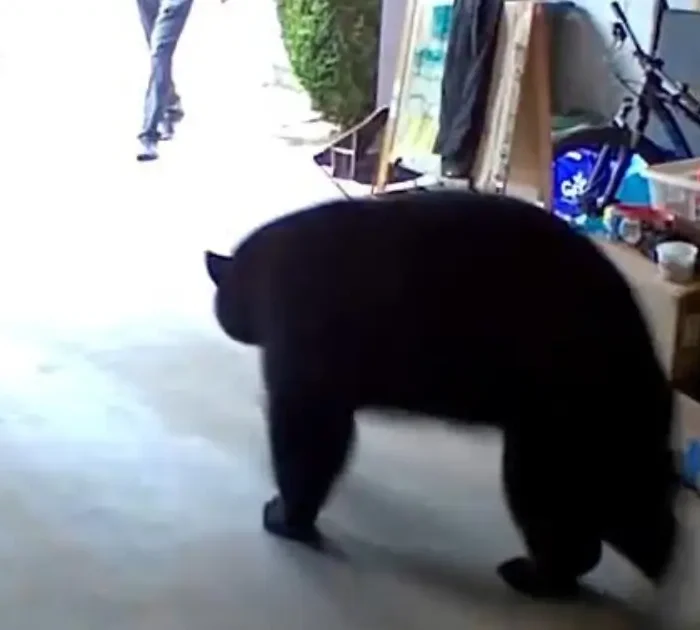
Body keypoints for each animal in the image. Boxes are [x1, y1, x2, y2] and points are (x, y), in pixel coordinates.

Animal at [204, 191, 680, 604]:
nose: (228, 320)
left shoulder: (306, 370)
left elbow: (306, 446)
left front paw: (289, 519)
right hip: (602, 443)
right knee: (638, 514)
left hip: (555, 431)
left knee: (563, 516)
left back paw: (537, 576)